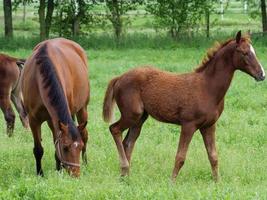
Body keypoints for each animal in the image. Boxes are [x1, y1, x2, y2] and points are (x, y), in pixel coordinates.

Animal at [21, 38, 90, 177]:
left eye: (79, 147)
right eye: (65, 147)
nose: (75, 174)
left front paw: (59, 170)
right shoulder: (33, 120)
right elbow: (38, 149)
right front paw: (40, 173)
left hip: (82, 108)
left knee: (85, 134)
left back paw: (85, 163)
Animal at [102, 30, 266, 181]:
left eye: (253, 52)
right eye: (244, 53)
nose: (262, 75)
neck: (207, 88)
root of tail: (119, 78)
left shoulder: (209, 126)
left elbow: (213, 156)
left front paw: (217, 182)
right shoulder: (188, 125)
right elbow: (180, 156)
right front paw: (172, 182)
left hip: (140, 118)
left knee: (128, 142)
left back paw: (125, 176)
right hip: (132, 114)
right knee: (114, 129)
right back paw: (124, 168)